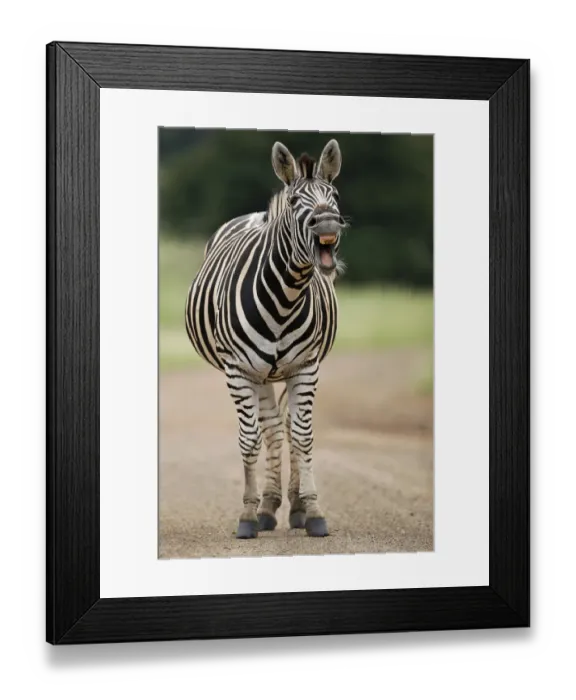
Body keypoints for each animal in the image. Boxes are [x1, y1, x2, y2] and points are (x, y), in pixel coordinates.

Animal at [185, 139, 347, 539]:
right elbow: (249, 439)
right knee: (271, 427)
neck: (285, 297)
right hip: (258, 374)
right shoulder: (238, 371)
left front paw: (313, 509)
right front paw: (247, 514)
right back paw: (268, 506)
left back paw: (293, 506)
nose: (328, 224)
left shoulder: (306, 366)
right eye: (294, 201)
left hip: (283, 371)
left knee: (285, 426)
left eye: (334, 195)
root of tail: (257, 213)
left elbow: (303, 436)